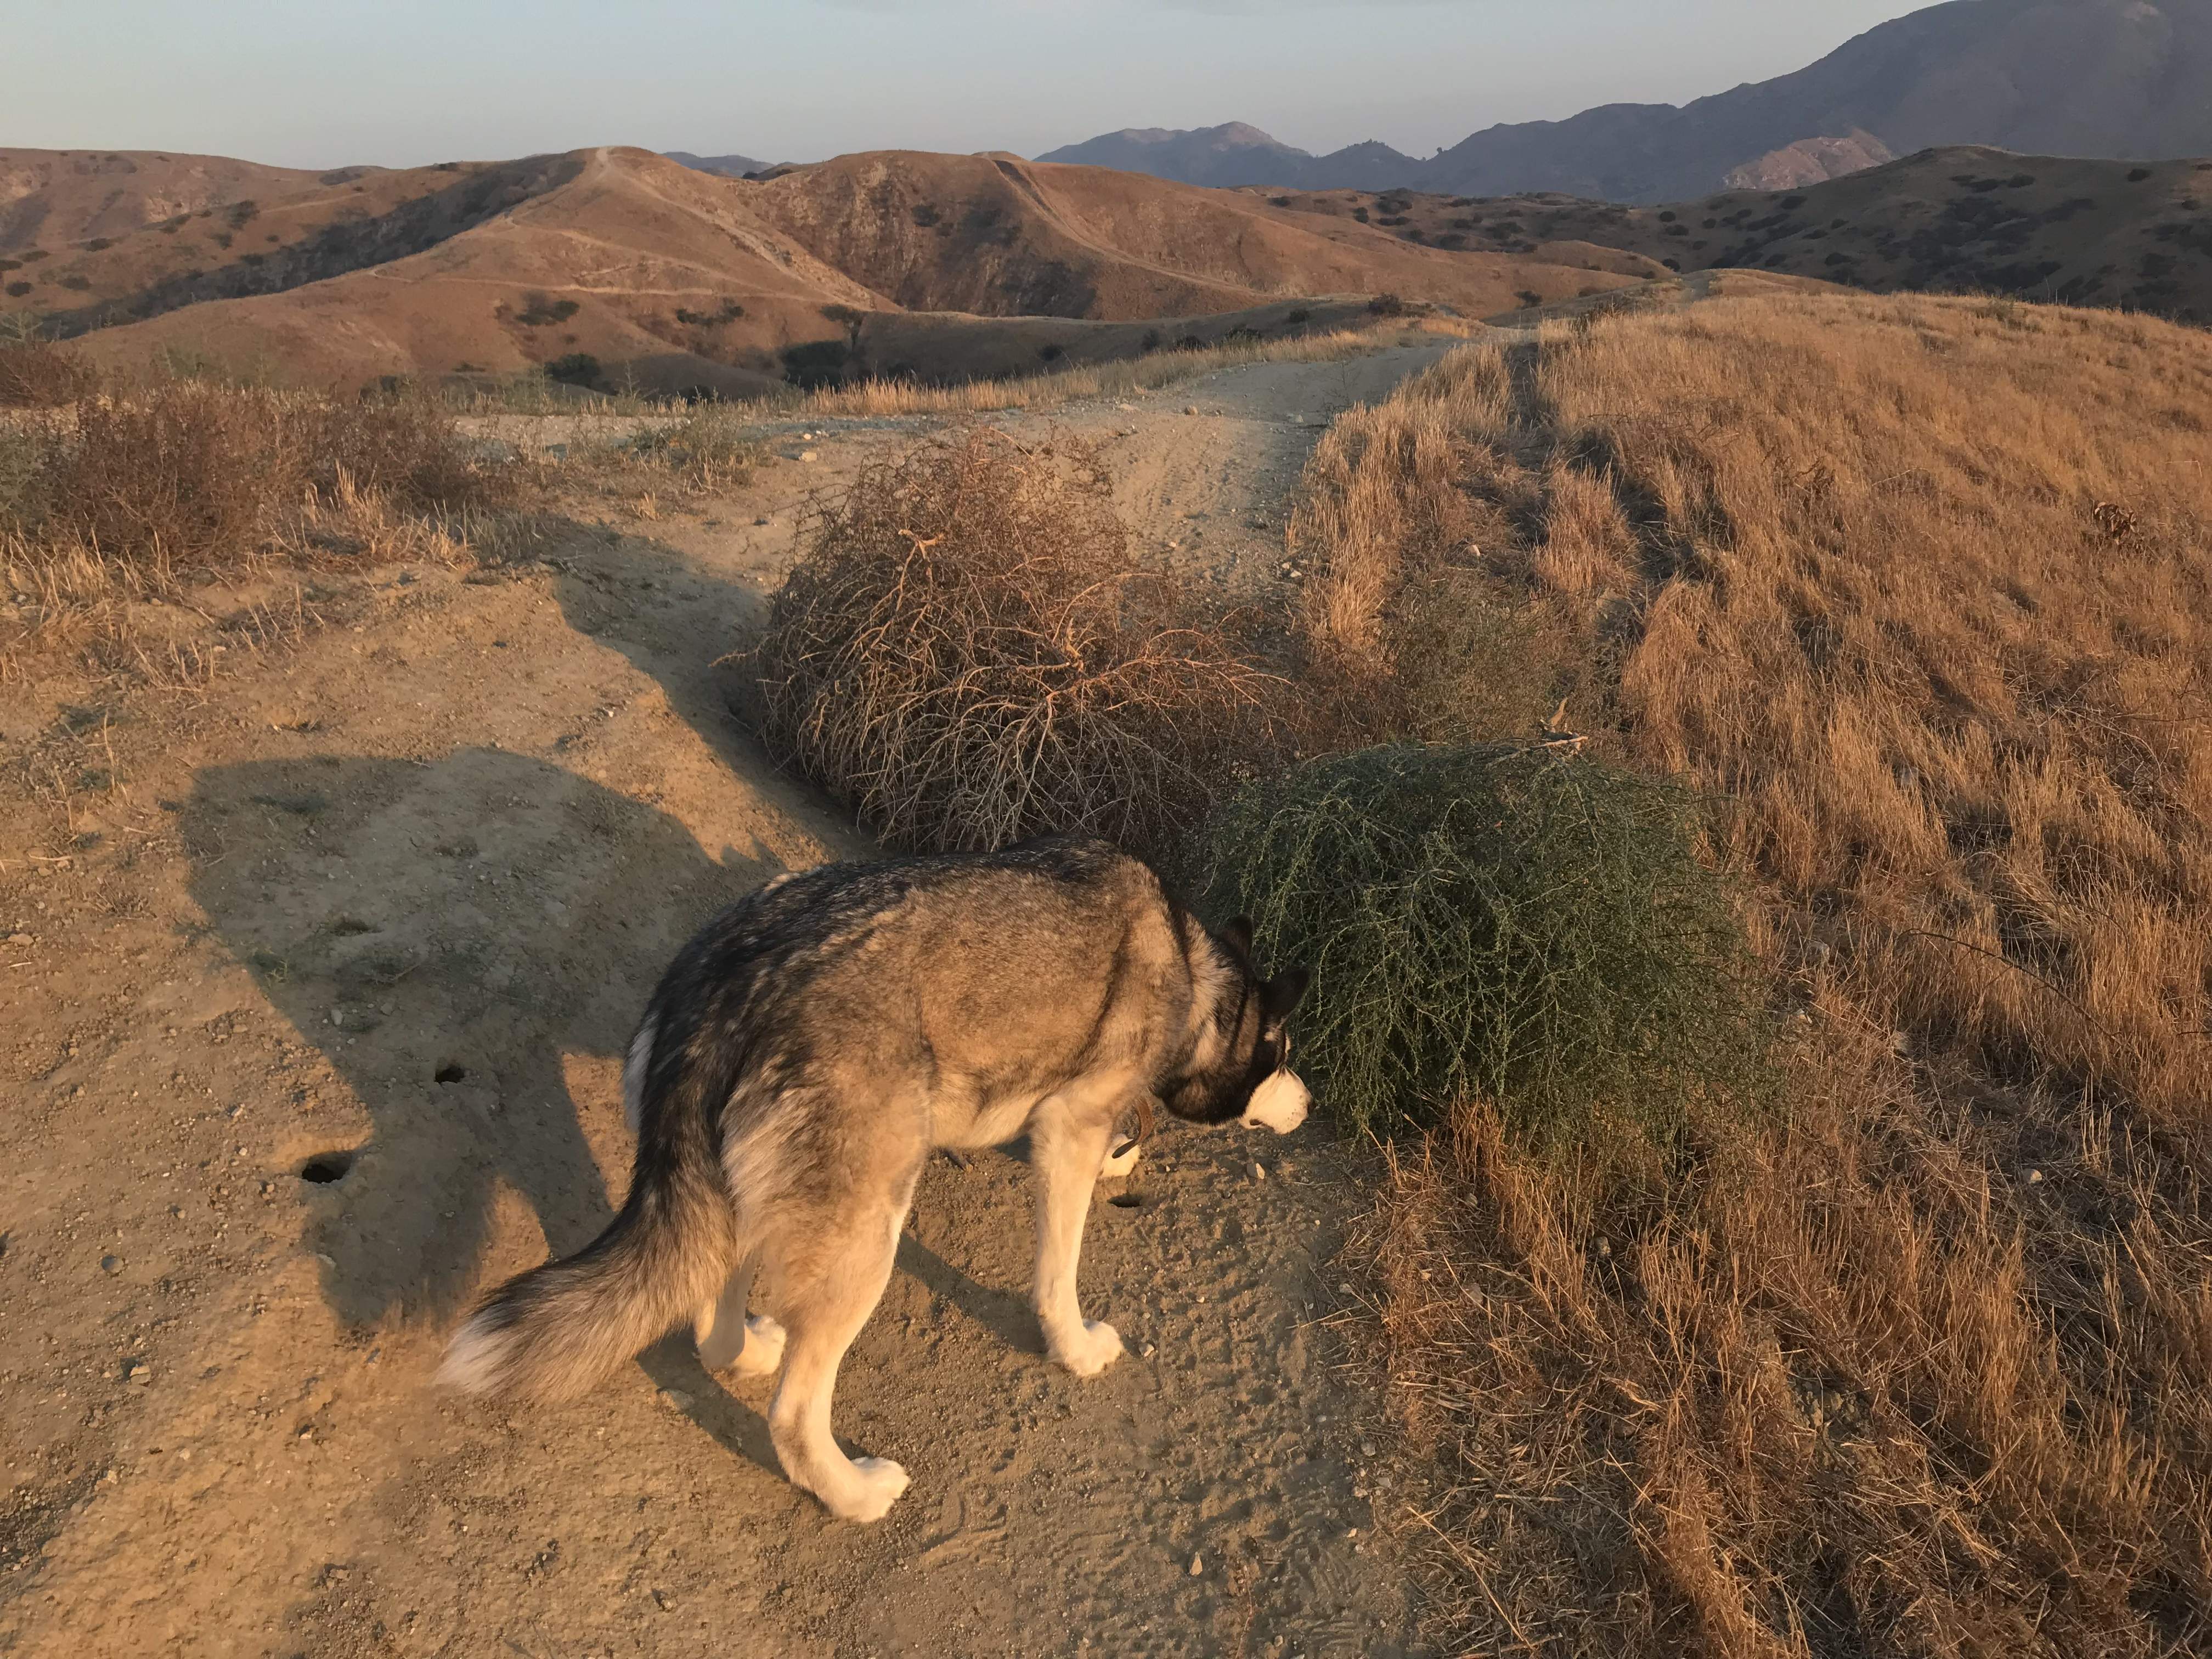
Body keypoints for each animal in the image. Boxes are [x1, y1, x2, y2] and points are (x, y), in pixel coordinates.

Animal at [431, 836, 1300, 1531]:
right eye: (1285, 1054)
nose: (1310, 1103)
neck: (1194, 970)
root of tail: (728, 986)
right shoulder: (1069, 1134)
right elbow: (1061, 1274)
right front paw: (1077, 1349)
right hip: (868, 1242)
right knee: (792, 1413)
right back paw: (852, 1494)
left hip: (747, 1194)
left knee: (713, 1317)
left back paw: (746, 1348)